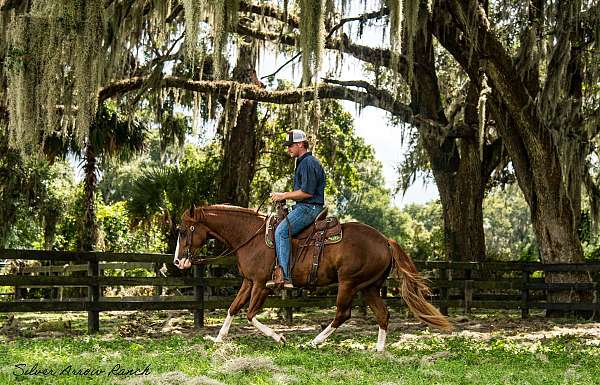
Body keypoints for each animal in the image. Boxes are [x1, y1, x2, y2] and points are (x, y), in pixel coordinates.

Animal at [172, 206, 450, 350]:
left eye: (184, 231)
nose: (177, 261)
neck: (250, 236)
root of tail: (385, 241)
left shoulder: (261, 284)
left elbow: (250, 314)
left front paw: (280, 337)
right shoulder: (248, 282)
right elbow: (233, 308)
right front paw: (218, 338)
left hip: (349, 283)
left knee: (342, 314)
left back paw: (314, 342)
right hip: (369, 287)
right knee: (383, 315)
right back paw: (379, 349)